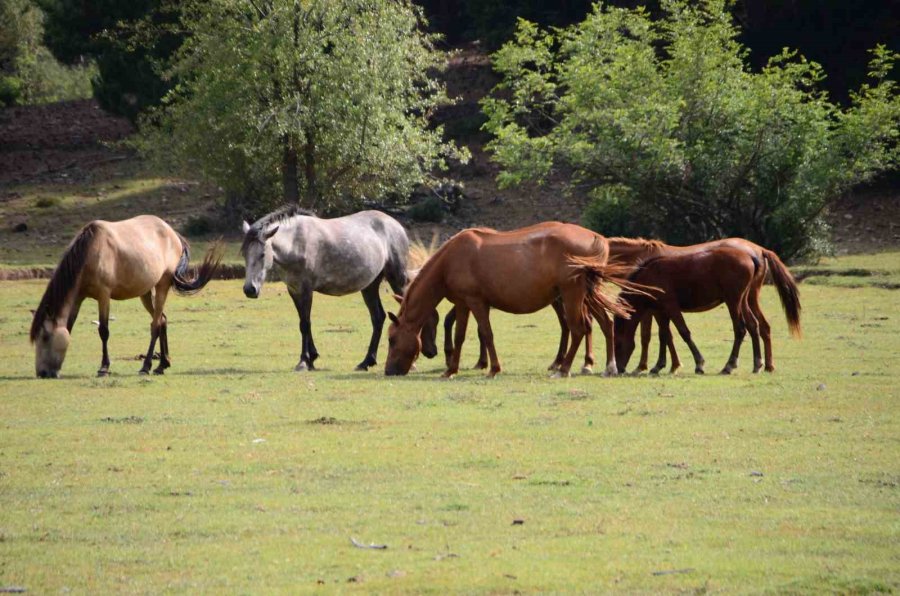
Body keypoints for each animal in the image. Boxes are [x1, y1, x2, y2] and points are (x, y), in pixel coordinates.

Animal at [32, 217, 223, 380]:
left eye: (45, 337)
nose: (42, 373)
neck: (90, 252)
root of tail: (173, 234)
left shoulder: (103, 295)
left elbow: (104, 331)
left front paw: (104, 368)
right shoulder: (78, 297)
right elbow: (69, 327)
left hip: (162, 286)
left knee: (155, 325)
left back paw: (146, 366)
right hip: (145, 292)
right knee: (162, 320)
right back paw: (162, 365)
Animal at [239, 206, 436, 372]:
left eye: (262, 254)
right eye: (245, 254)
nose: (250, 290)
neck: (296, 242)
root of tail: (395, 225)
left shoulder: (306, 289)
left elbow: (305, 323)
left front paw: (303, 361)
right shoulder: (294, 289)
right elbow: (304, 322)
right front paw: (312, 358)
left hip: (397, 279)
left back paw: (411, 363)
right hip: (370, 286)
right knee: (378, 318)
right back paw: (366, 362)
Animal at [616, 246, 800, 372]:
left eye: (617, 343)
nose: (618, 369)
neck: (651, 274)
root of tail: (752, 256)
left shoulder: (671, 307)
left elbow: (684, 332)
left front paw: (699, 363)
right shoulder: (661, 311)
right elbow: (664, 336)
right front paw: (659, 365)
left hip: (733, 301)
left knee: (740, 329)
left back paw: (729, 365)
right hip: (744, 301)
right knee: (754, 325)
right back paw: (758, 363)